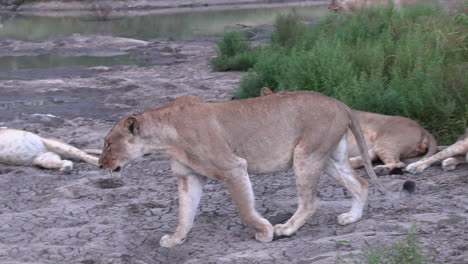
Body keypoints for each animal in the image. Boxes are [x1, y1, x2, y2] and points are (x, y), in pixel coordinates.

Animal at [98, 91, 384, 248]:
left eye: (109, 143)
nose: (101, 164)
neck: (165, 139)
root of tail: (340, 103)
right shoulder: (189, 177)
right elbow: (184, 214)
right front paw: (175, 240)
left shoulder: (232, 166)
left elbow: (245, 209)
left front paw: (265, 232)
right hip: (329, 158)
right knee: (360, 184)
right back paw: (352, 217)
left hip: (306, 155)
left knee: (311, 201)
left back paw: (286, 229)